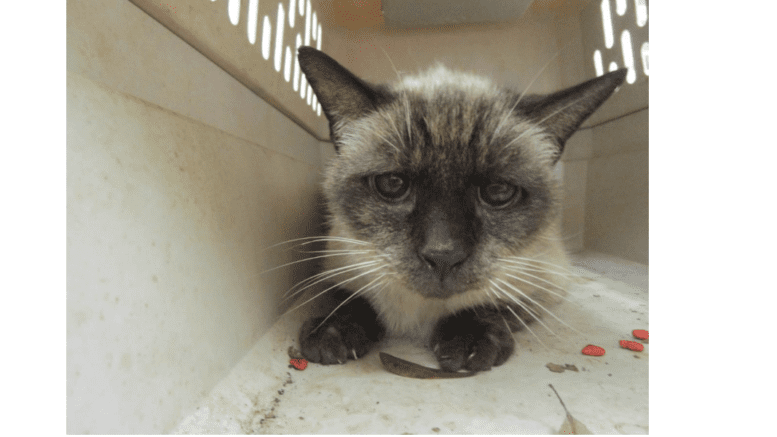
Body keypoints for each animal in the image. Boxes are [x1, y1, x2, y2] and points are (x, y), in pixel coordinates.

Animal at [292, 45, 624, 372]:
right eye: (392, 184)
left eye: (498, 191)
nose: (443, 254)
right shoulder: (335, 265)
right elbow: (349, 297)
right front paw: (332, 334)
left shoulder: (544, 282)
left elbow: (490, 305)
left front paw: (467, 343)